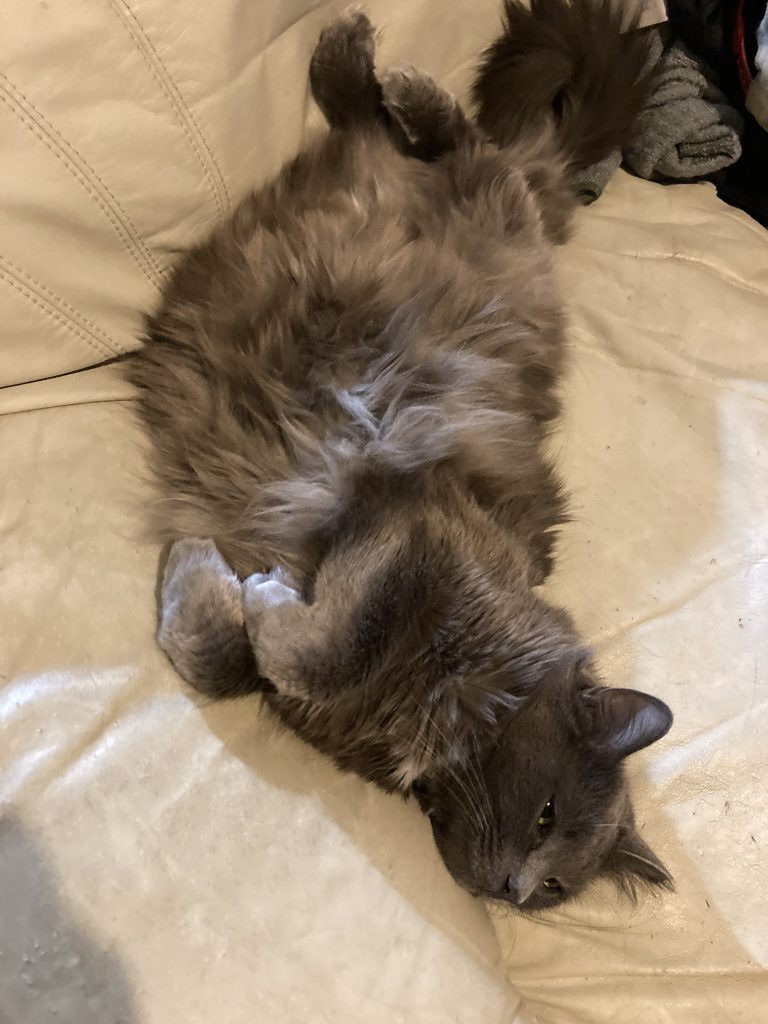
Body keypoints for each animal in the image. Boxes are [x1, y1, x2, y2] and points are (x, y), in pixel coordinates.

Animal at [128, 2, 671, 913]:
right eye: (546, 813)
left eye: (555, 890)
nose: (513, 890)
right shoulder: (414, 522)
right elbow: (308, 649)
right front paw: (250, 590)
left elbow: (234, 662)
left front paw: (216, 583)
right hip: (502, 226)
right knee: (465, 146)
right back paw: (372, 61)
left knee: (383, 133)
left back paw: (353, 66)